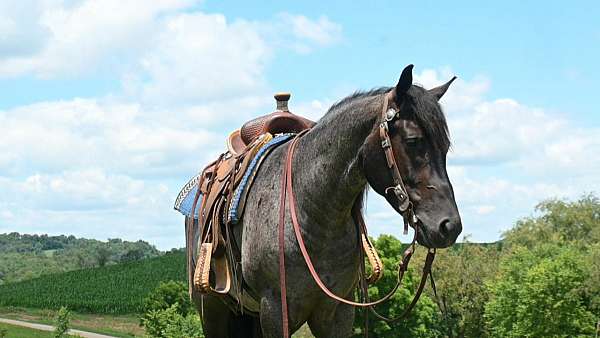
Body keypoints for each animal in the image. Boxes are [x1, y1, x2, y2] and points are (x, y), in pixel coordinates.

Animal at [185, 64, 462, 336]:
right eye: (413, 140)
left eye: (445, 147)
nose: (449, 226)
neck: (312, 212)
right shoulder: (274, 310)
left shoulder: (338, 312)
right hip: (213, 311)